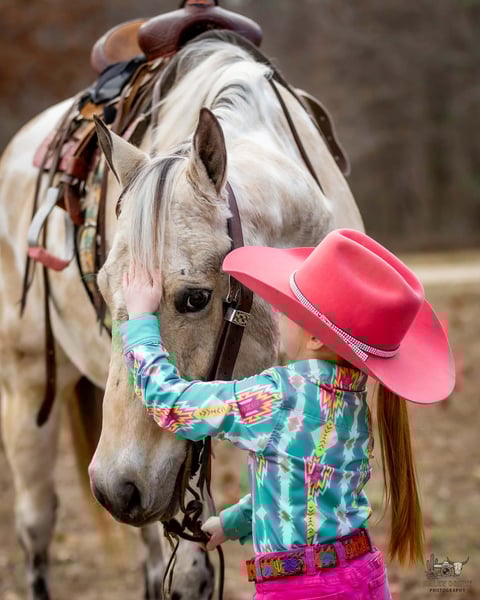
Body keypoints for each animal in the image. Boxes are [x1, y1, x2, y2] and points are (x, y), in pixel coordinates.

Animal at [0, 32, 364, 600]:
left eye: (195, 298)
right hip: (29, 388)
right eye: (106, 287)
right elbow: (193, 573)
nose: (116, 486)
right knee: (37, 526)